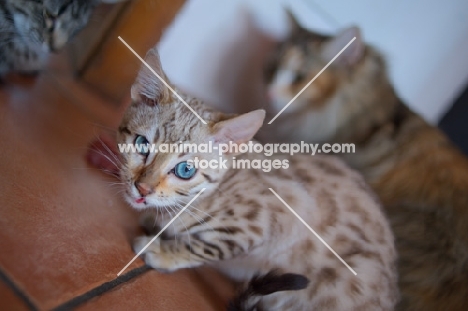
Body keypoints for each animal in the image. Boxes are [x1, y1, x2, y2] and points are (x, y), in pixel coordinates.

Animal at [117, 48, 398, 311]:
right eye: (142, 144)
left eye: (185, 170)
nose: (142, 188)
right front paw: (157, 222)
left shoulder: (278, 214)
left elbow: (205, 247)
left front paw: (163, 250)